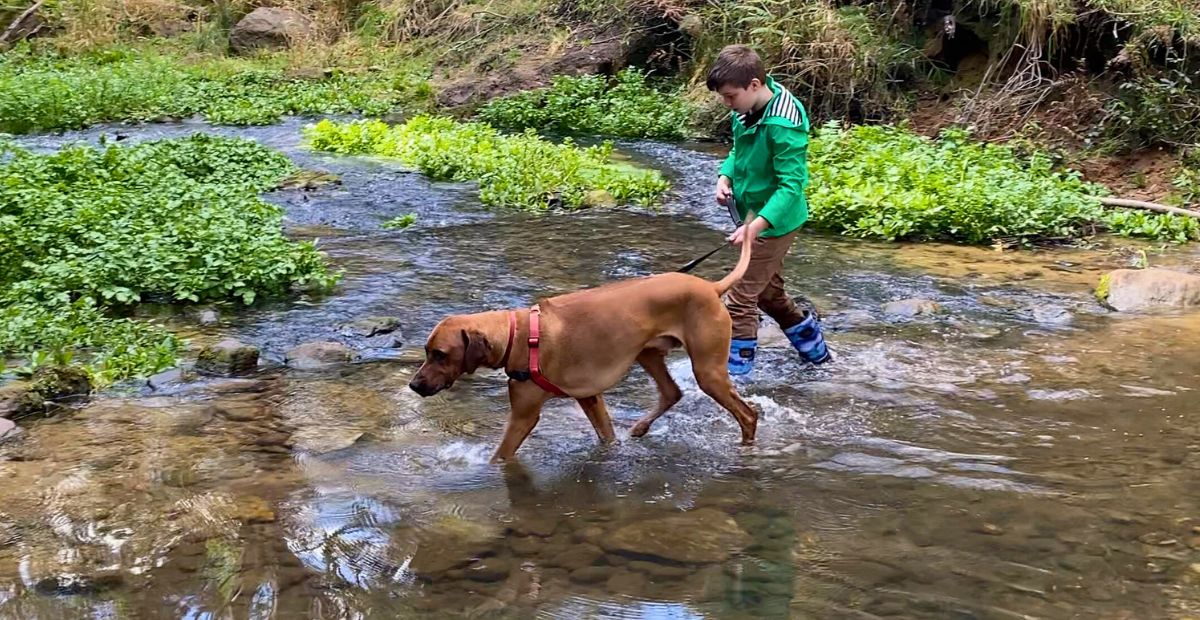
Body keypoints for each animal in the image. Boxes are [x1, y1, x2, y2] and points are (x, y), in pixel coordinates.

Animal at [408, 226, 753, 458]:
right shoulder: (590, 397)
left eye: (440, 354)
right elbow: (607, 436)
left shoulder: (524, 416)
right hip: (648, 354)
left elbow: (500, 457)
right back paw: (641, 428)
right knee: (672, 392)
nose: (413, 385)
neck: (517, 336)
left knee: (748, 415)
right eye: (426, 351)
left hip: (708, 371)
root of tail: (711, 287)